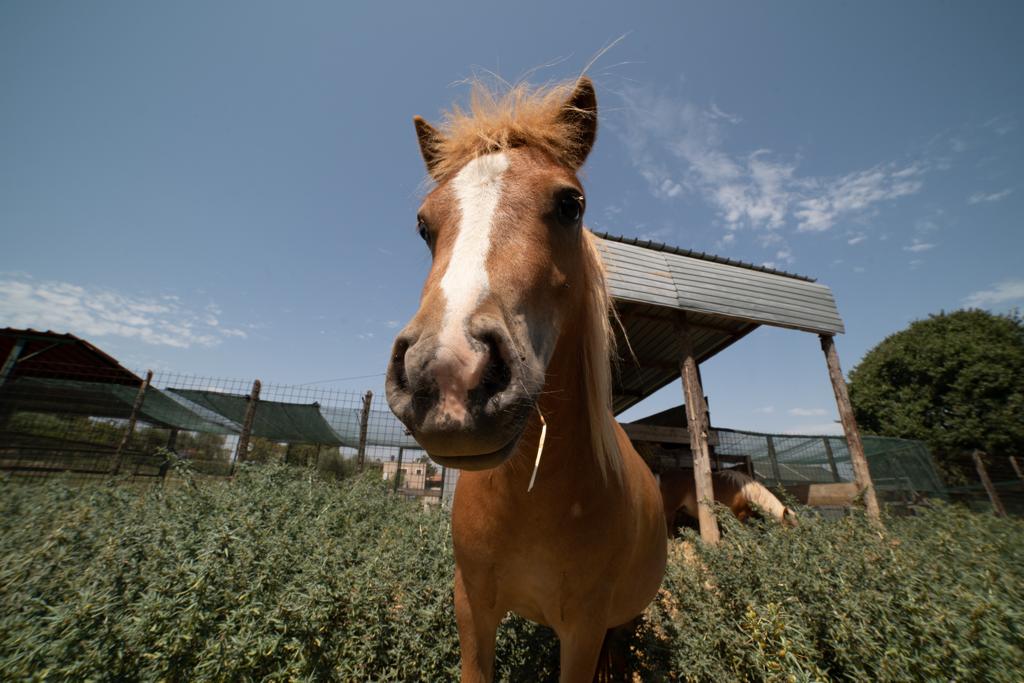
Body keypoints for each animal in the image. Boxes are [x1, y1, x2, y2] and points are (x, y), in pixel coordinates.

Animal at [387, 77, 667, 679]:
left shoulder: (583, 630)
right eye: (423, 226)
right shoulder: (472, 606)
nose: (449, 371)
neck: (531, 499)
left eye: (570, 204)